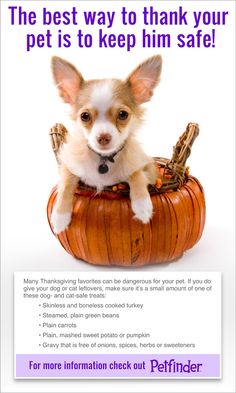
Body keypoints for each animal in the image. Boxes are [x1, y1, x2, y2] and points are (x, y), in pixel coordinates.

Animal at [51, 54, 162, 233]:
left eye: (123, 114)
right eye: (84, 116)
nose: (103, 137)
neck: (103, 158)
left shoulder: (146, 166)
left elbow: (136, 174)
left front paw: (142, 205)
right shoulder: (69, 165)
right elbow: (66, 183)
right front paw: (60, 216)